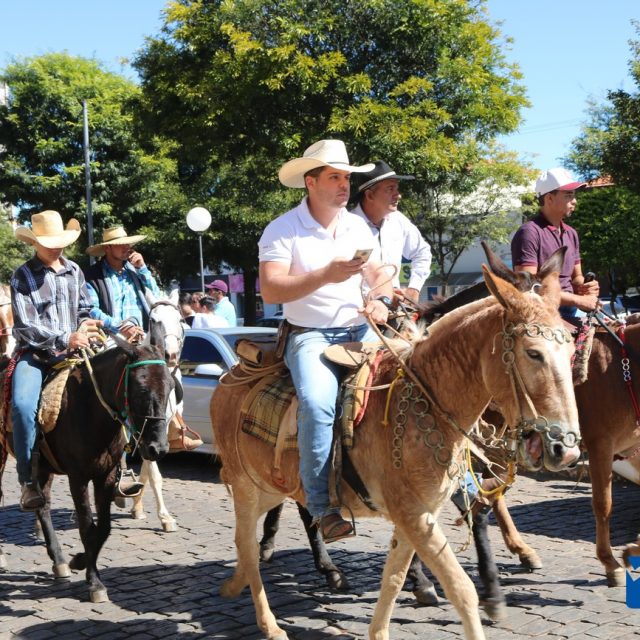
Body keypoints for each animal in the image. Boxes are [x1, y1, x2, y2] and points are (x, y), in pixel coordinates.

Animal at [0, 320, 173, 603]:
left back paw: (59, 561)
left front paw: (80, 562)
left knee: (43, 505)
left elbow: (102, 529)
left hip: (43, 466)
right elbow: (86, 526)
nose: (157, 448)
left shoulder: (107, 475)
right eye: (140, 389)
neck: (90, 409)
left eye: (170, 387)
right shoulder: (78, 477)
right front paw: (94, 583)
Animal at [211, 268, 581, 640]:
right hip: (245, 486)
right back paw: (270, 621)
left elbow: (394, 576)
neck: (426, 400)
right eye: (533, 353)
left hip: (270, 487)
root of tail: (232, 375)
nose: (564, 449)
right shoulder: (414, 513)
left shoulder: (416, 514)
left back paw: (241, 582)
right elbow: (460, 588)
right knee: (247, 544)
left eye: (571, 351)